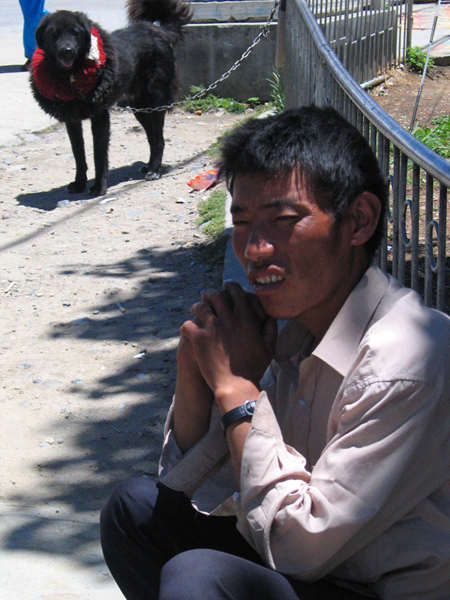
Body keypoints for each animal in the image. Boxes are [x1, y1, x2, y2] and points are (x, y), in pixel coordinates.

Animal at [29, 0, 192, 195]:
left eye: (75, 32)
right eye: (53, 33)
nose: (67, 51)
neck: (72, 74)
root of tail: (157, 31)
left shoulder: (100, 116)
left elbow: (99, 154)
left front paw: (99, 186)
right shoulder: (72, 120)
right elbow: (78, 154)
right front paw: (80, 183)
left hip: (155, 101)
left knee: (159, 140)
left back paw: (154, 171)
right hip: (141, 108)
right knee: (153, 138)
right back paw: (150, 166)